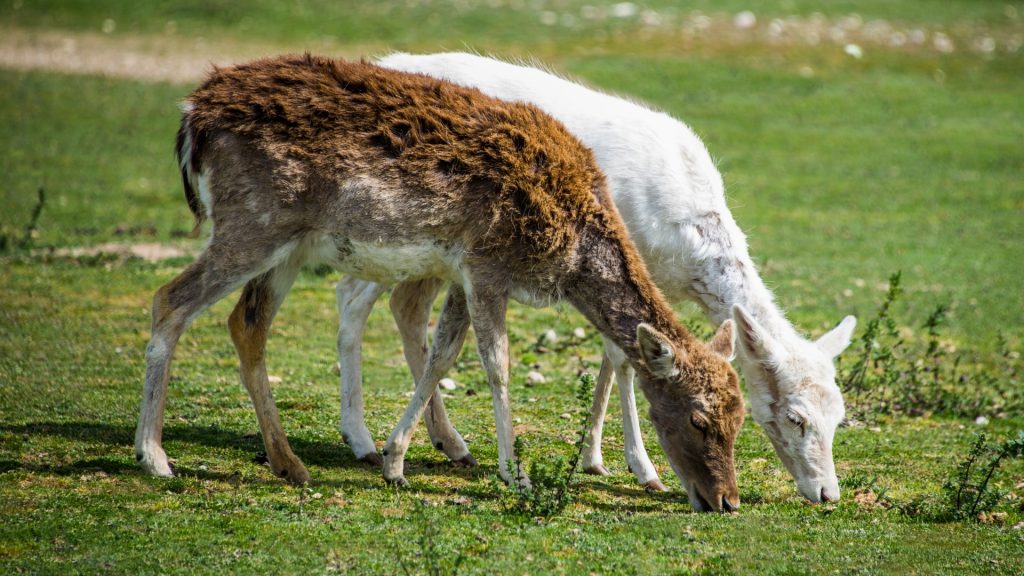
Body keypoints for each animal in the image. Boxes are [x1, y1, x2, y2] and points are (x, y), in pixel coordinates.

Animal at [134, 53, 745, 508]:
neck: (573, 252)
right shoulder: (487, 264)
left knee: (247, 324)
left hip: (287, 243)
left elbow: (442, 354)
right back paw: (155, 457)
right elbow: (495, 364)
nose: (726, 501)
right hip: (253, 223)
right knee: (170, 300)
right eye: (699, 419)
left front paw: (397, 459)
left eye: (739, 418)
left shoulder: (460, 271)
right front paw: (514, 472)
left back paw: (289, 463)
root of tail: (192, 118)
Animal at [329, 54, 856, 502]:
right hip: (388, 235)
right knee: (351, 299)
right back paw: (361, 439)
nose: (827, 493)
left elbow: (614, 356)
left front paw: (595, 457)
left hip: (434, 256)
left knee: (407, 307)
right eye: (794, 417)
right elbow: (623, 361)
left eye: (840, 417)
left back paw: (450, 442)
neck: (683, 247)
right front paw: (644, 469)